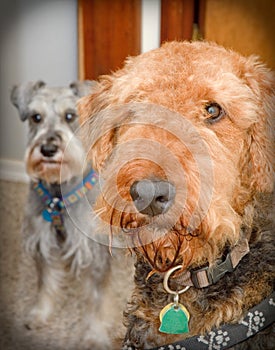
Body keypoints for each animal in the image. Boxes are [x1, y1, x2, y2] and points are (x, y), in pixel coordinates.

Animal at [11, 80, 134, 348]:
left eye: (70, 115)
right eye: (36, 117)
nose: (48, 149)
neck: (58, 195)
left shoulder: (95, 252)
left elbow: (97, 299)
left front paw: (95, 335)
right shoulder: (43, 243)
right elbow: (45, 282)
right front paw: (40, 314)